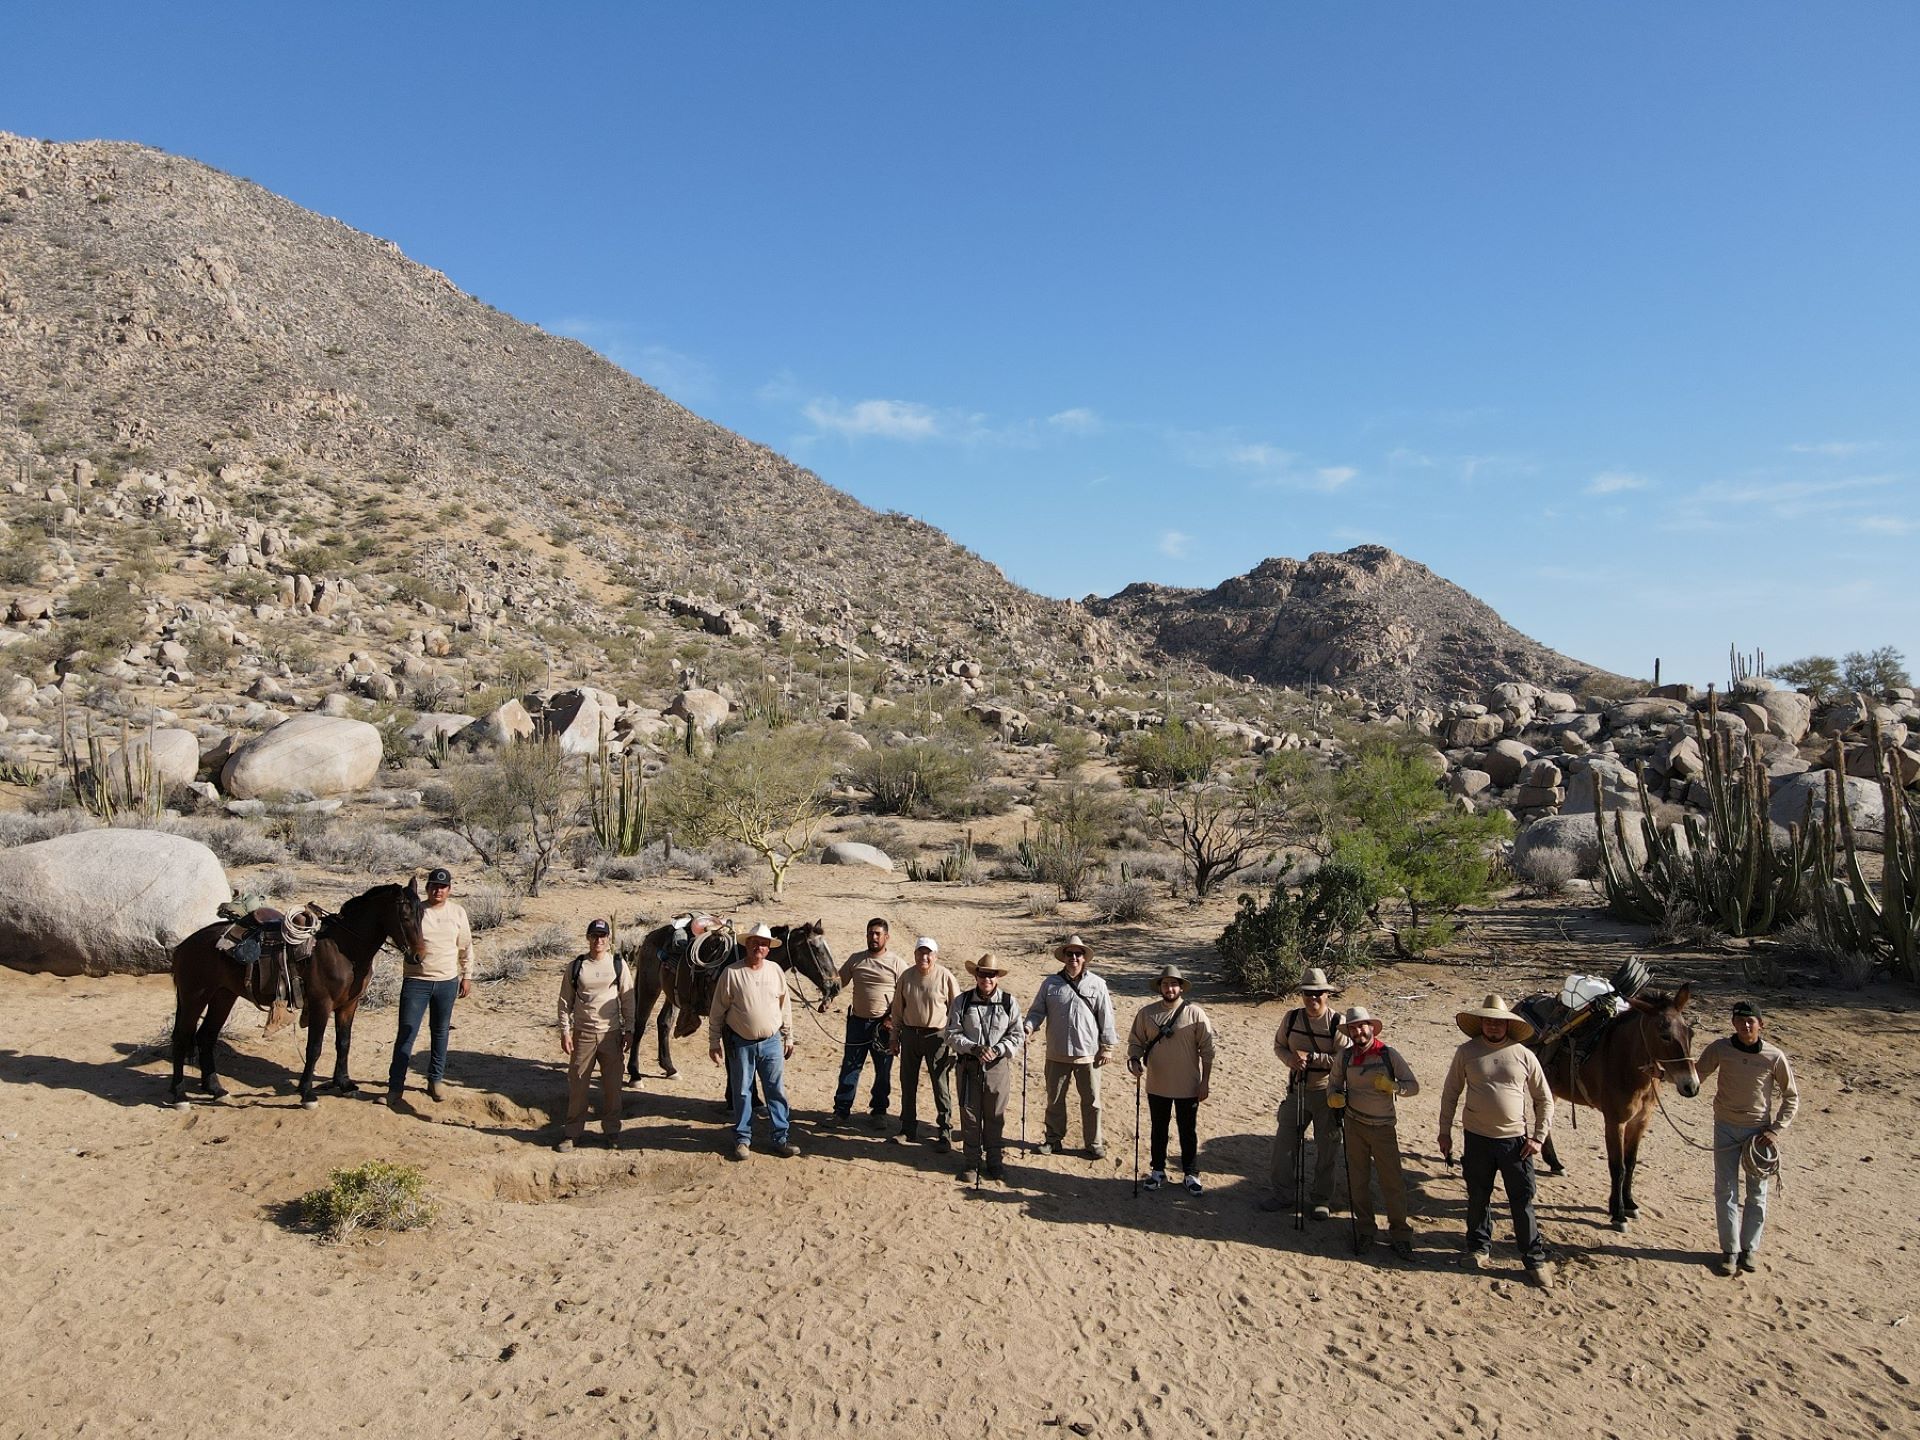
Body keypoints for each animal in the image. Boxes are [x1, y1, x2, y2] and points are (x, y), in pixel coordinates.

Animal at [169, 879, 428, 1105]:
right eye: (405, 916)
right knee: (181, 1038)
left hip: (223, 996)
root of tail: (184, 945)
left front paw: (344, 1084)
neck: (344, 949)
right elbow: (314, 1048)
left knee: (206, 1037)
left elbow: (344, 1043)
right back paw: (179, 1094)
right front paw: (307, 1092)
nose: (419, 956)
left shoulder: (348, 1005)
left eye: (422, 915)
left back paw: (215, 1089)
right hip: (195, 997)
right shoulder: (322, 1004)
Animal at [629, 925, 840, 1082]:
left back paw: (670, 1068)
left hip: (673, 995)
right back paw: (635, 1074)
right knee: (640, 1024)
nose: (836, 986)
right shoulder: (725, 1021)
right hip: (649, 987)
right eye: (817, 949)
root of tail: (650, 935)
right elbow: (733, 1062)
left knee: (664, 1022)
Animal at [1536, 990, 1704, 1236]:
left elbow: (1631, 1163)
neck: (1626, 1061)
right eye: (1664, 1035)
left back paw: (1555, 1163)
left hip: (1551, 1089)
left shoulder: (1640, 1122)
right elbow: (1618, 1167)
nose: (1691, 1086)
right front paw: (1618, 1213)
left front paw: (1630, 1204)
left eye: (1690, 1033)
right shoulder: (1615, 1122)